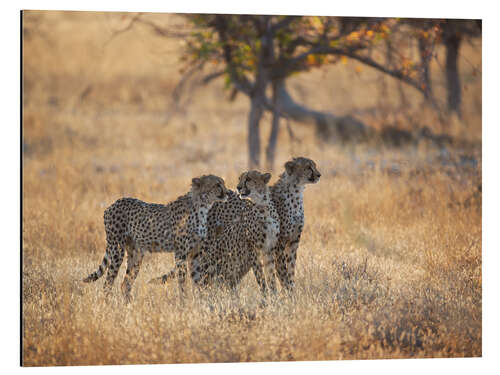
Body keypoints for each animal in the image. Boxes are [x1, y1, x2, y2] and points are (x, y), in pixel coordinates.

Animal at [83, 175, 228, 302]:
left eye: (223, 183)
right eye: (217, 184)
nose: (227, 192)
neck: (202, 206)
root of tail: (113, 203)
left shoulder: (195, 254)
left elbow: (198, 280)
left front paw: (201, 301)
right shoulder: (181, 253)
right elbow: (182, 281)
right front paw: (184, 302)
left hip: (136, 255)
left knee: (125, 284)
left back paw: (130, 306)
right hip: (117, 250)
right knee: (108, 283)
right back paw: (107, 304)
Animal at [150, 171, 280, 300]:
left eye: (248, 179)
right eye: (240, 178)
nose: (238, 187)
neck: (263, 206)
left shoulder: (268, 249)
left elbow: (271, 277)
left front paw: (274, 297)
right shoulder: (254, 249)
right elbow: (261, 278)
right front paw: (265, 297)